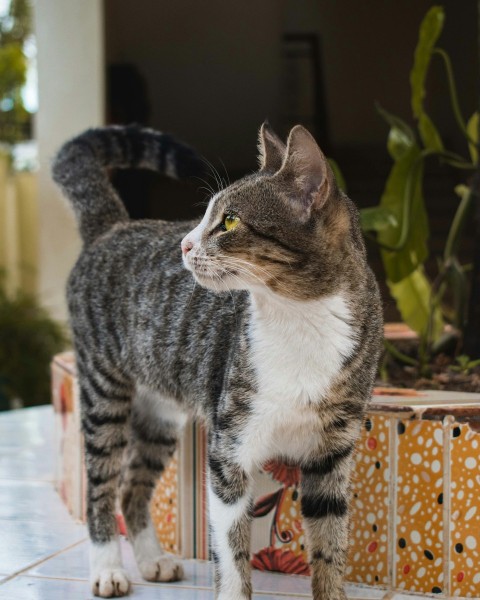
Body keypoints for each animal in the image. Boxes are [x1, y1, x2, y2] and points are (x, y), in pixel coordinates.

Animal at [52, 122, 382, 600]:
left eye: (229, 221)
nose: (184, 244)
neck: (301, 319)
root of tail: (112, 227)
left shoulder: (331, 454)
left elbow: (329, 547)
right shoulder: (229, 452)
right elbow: (232, 551)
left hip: (160, 409)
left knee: (132, 487)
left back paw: (151, 559)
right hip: (102, 387)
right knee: (101, 485)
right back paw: (108, 568)